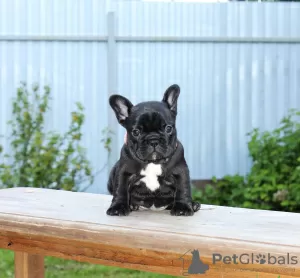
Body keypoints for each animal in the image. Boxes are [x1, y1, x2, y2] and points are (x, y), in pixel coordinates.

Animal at [106, 83, 200, 216]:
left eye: (168, 128)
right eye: (136, 132)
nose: (153, 140)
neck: (153, 162)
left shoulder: (180, 171)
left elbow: (183, 187)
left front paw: (183, 207)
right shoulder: (124, 171)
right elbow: (120, 189)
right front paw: (118, 207)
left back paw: (194, 204)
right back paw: (132, 205)